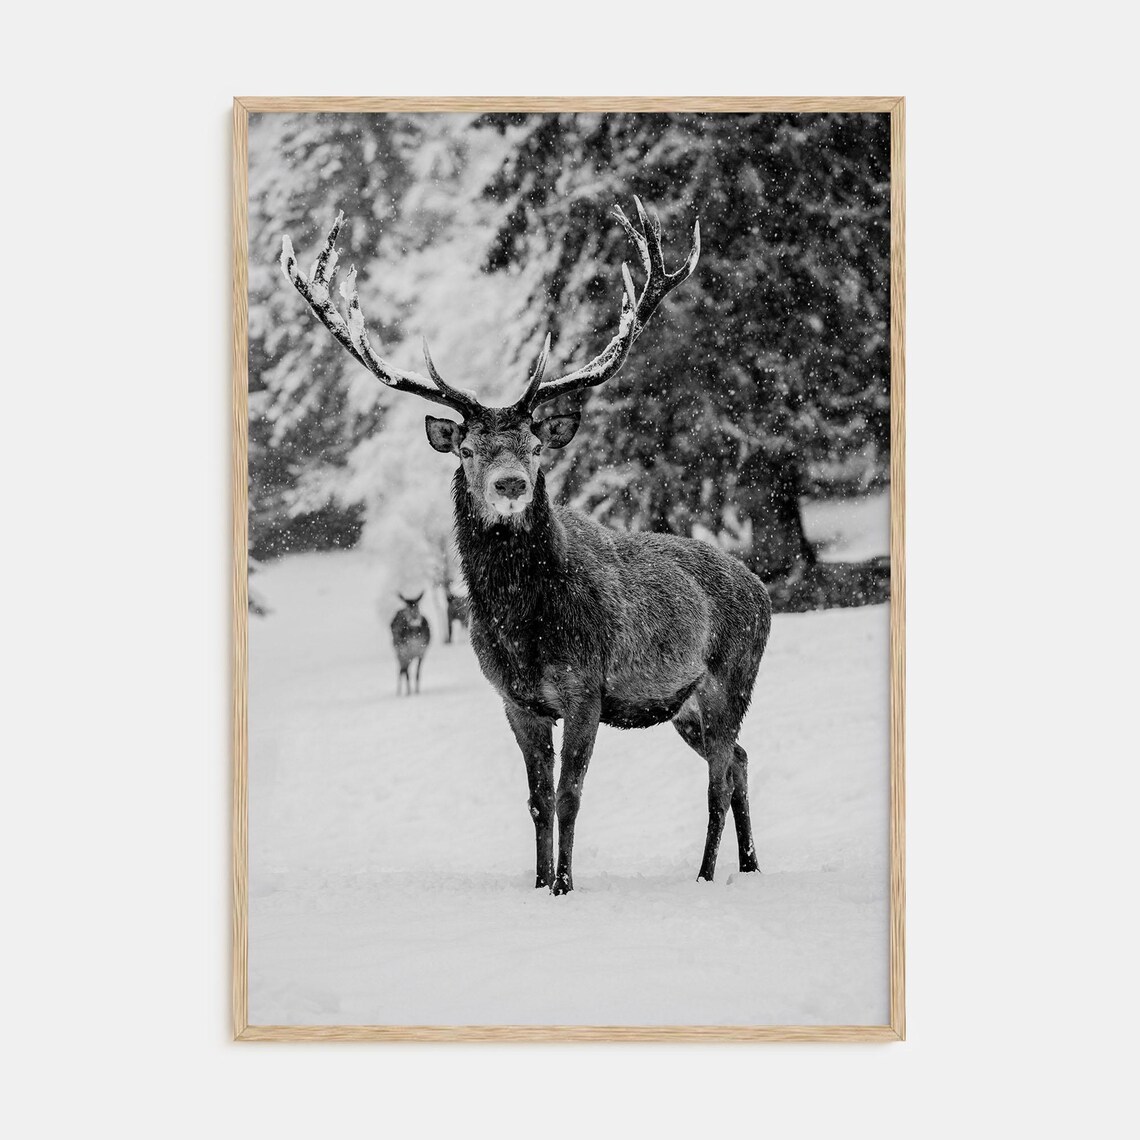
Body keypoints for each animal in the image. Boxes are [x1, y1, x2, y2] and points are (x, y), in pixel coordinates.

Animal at [281, 199, 772, 894]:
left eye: (536, 445)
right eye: (467, 447)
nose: (511, 483)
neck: (523, 626)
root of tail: (761, 587)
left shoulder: (586, 686)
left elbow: (570, 794)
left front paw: (565, 885)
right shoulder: (515, 699)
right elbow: (537, 799)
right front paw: (539, 885)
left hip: (733, 675)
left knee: (718, 778)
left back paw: (706, 873)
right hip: (684, 705)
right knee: (741, 762)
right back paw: (749, 865)